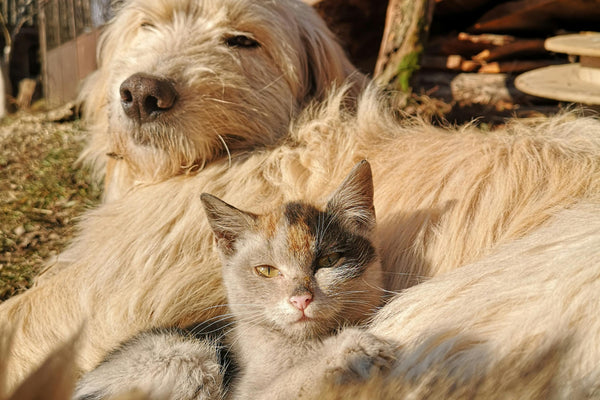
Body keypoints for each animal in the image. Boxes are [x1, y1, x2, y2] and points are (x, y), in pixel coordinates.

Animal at [71, 160, 394, 400]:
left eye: (328, 260)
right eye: (266, 271)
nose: (301, 298)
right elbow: (287, 385)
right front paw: (350, 350)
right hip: (184, 354)